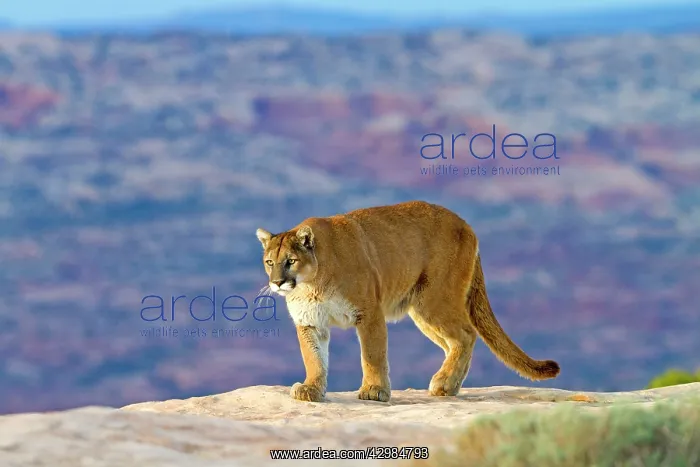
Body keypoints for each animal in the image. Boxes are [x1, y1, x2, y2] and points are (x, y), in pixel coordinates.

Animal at [255, 200, 560, 403]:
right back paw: (450, 385)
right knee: (455, 342)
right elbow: (314, 357)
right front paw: (312, 389)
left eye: (290, 261)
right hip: (422, 312)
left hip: (433, 300)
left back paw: (443, 383)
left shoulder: (369, 312)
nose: (277, 282)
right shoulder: (310, 322)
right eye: (270, 262)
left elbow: (372, 355)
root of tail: (466, 224)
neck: (312, 284)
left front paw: (374, 391)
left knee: (466, 334)